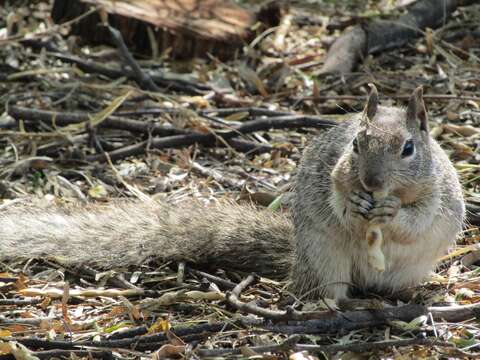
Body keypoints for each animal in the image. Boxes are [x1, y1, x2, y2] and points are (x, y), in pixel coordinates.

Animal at [0, 86, 464, 300]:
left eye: (408, 148)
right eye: (356, 144)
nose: (370, 182)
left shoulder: (438, 193)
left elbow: (418, 217)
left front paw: (391, 211)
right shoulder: (335, 174)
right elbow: (336, 197)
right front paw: (354, 204)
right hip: (324, 258)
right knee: (323, 290)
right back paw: (331, 304)